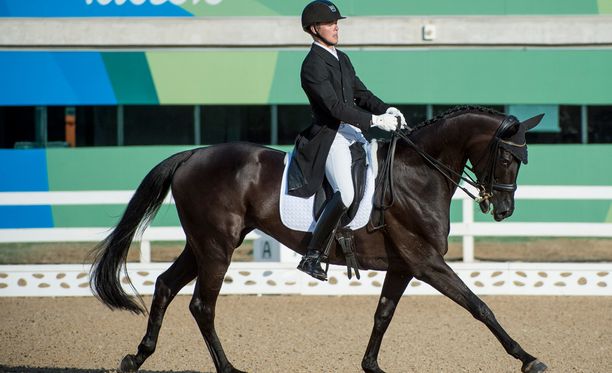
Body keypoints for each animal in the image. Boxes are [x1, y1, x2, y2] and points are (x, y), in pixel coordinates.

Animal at [88, 104, 548, 372]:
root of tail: (193, 154)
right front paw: (528, 359)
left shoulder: (404, 266)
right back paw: (228, 369)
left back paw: (137, 356)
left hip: (204, 244)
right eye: (508, 157)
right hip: (217, 248)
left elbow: (383, 315)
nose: (504, 210)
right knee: (202, 305)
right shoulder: (426, 262)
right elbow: (479, 306)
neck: (418, 173)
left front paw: (371, 366)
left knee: (166, 286)